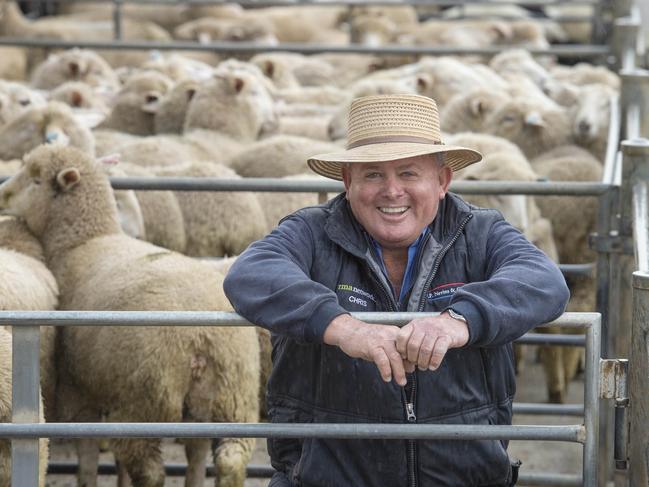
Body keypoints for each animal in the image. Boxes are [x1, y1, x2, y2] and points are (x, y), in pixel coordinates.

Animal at [0, 145, 258, 487]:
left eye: (36, 179)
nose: (2, 194)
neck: (84, 240)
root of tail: (202, 337)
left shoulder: (77, 387)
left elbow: (87, 453)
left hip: (144, 400)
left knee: (150, 471)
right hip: (231, 396)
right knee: (222, 457)